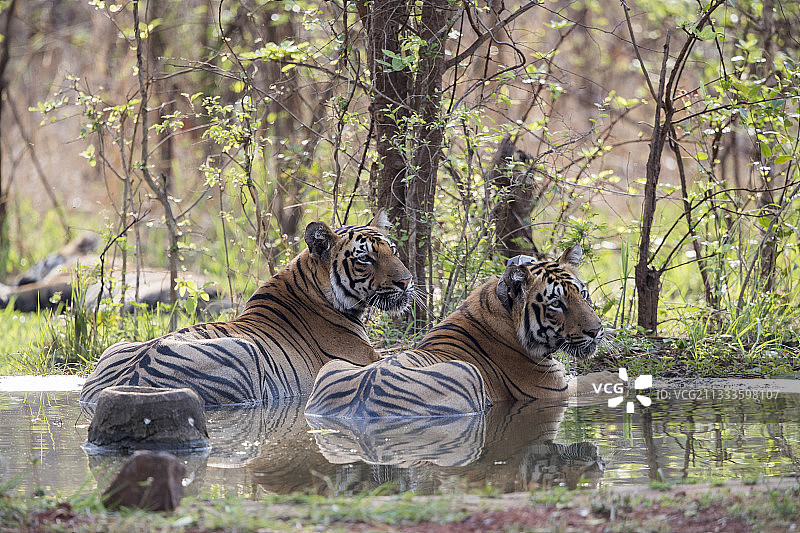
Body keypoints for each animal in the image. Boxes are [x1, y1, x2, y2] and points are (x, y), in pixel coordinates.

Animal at [80, 211, 414, 407]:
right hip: (246, 351)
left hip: (117, 345)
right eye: (365, 258)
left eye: (392, 250)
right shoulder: (365, 359)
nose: (407, 280)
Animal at [305, 244, 618, 418]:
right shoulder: (553, 390)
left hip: (334, 365)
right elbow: (595, 382)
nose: (597, 330)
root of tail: (354, 406)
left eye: (584, 294)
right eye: (556, 304)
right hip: (468, 372)